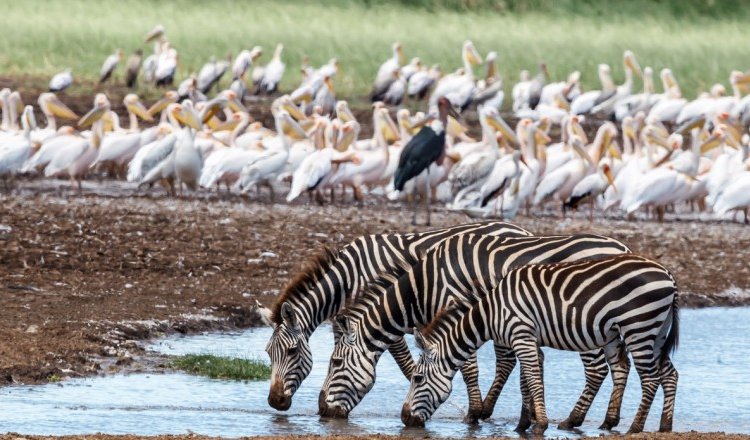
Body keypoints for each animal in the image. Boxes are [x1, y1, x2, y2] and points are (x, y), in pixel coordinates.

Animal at [264, 222, 536, 410]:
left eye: (292, 352)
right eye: (268, 353)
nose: (275, 401)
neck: (349, 277)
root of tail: (521, 229)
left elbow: (405, 364)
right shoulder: (348, 320)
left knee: (506, 361)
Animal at [324, 232, 636, 428]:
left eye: (335, 363)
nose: (323, 412)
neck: (424, 286)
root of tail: (623, 248)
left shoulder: (455, 309)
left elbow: (468, 367)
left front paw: (474, 413)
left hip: (586, 324)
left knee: (597, 369)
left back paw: (574, 420)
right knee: (620, 365)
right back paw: (609, 420)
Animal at [406, 253, 680, 434]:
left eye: (417, 379)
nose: (405, 418)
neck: (491, 311)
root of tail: (668, 275)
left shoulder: (522, 336)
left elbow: (533, 381)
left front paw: (539, 425)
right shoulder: (529, 340)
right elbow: (526, 383)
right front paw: (523, 424)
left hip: (639, 328)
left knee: (650, 379)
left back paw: (635, 427)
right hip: (656, 333)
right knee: (669, 374)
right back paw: (665, 425)